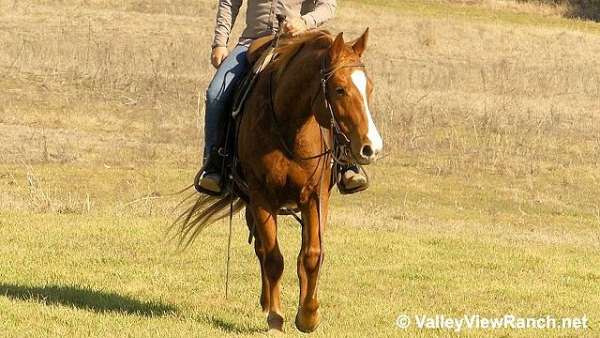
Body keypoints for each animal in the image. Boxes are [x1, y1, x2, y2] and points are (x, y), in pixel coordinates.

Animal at [171, 28, 382, 332]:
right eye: (340, 89)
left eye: (370, 88)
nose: (371, 148)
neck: (290, 128)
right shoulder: (261, 197)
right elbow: (273, 258)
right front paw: (275, 317)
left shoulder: (315, 197)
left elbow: (312, 255)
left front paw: (308, 315)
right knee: (262, 249)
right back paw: (266, 302)